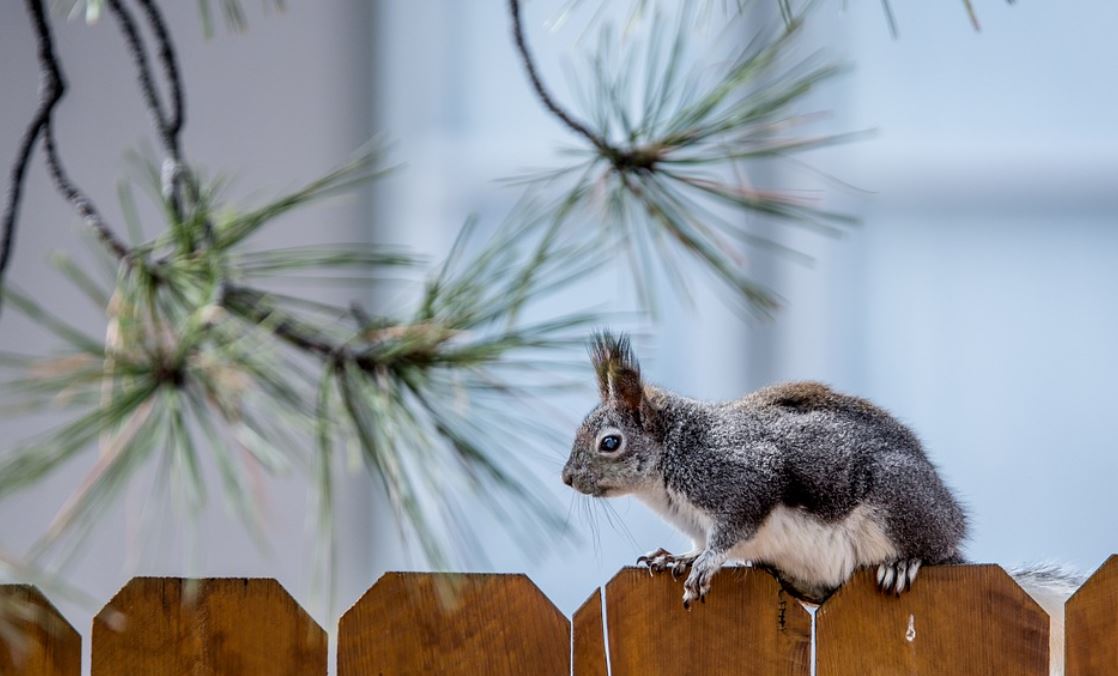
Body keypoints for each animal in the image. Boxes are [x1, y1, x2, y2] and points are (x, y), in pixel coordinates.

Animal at [563, 332, 1077, 670]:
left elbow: (731, 532)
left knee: (926, 551)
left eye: (610, 443)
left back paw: (903, 563)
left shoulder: (742, 478)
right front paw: (676, 557)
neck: (673, 456)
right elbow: (699, 543)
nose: (567, 478)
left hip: (898, 501)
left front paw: (705, 564)